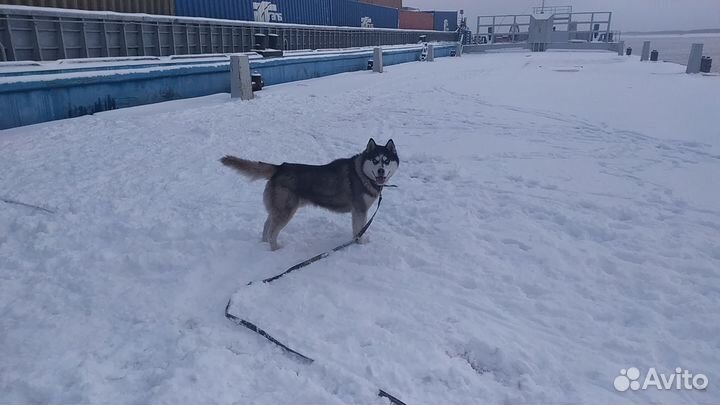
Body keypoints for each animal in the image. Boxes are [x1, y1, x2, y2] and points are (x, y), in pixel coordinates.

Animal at [221, 139, 400, 249]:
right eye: (375, 161)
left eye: (386, 161)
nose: (381, 171)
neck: (361, 173)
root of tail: (280, 167)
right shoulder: (359, 210)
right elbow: (359, 229)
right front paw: (361, 243)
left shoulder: (359, 211)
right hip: (286, 210)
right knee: (272, 232)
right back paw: (275, 249)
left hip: (278, 208)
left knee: (266, 225)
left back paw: (264, 244)